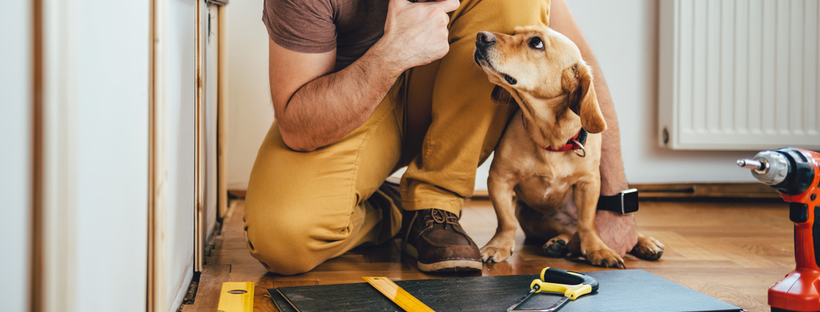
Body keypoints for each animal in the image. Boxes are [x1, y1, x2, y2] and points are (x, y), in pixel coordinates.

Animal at [470, 25, 664, 268]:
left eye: (536, 43)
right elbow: (506, 220)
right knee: (565, 232)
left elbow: (587, 224)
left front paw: (598, 249)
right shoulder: (499, 179)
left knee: (584, 229)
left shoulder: (588, 184)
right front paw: (499, 245)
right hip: (533, 218)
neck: (551, 137)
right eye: (514, 32)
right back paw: (558, 243)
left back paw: (646, 243)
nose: (481, 36)